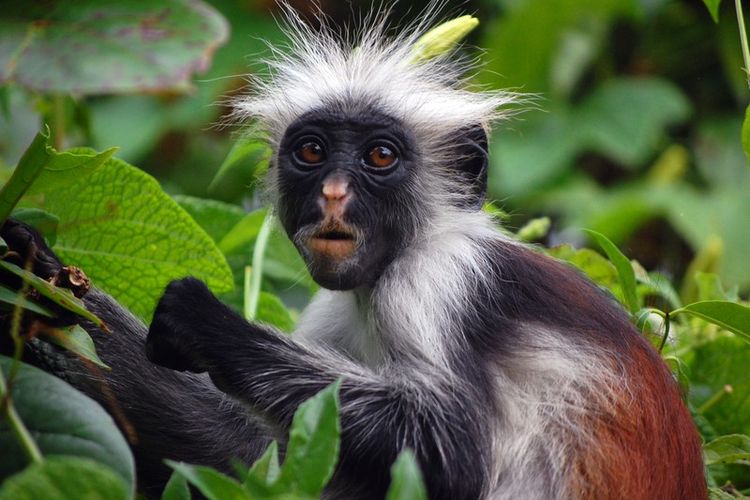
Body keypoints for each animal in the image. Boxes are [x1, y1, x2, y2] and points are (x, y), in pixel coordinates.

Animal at [1, 4, 704, 500]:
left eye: (380, 157)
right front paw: (38, 282)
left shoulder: (439, 280)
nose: (334, 193)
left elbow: (452, 451)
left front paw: (203, 323)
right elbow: (249, 457)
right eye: (312, 151)